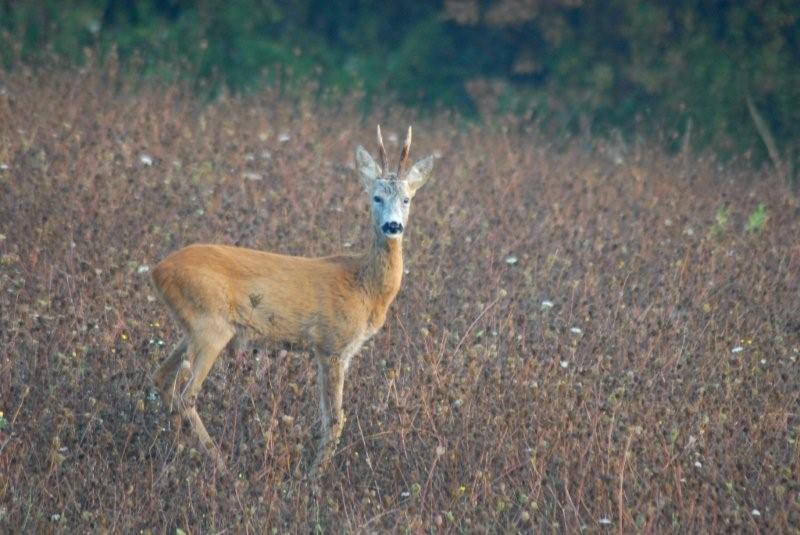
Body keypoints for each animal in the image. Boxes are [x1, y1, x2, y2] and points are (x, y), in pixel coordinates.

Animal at [152, 126, 434, 478]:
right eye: (376, 196)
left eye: (406, 199)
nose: (392, 225)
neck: (365, 287)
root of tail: (157, 270)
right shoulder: (330, 345)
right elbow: (335, 418)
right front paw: (314, 476)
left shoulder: (343, 351)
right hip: (211, 326)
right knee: (187, 394)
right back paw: (221, 465)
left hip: (191, 327)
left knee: (162, 378)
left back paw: (176, 452)